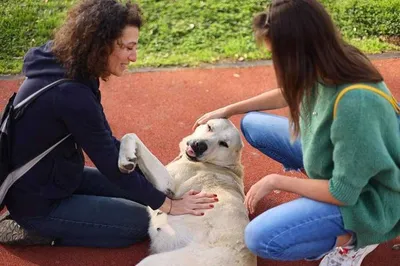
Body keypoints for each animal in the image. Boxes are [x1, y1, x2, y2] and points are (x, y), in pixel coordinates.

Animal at [118, 119, 256, 266]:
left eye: (224, 144)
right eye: (209, 127)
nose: (200, 145)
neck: (221, 165)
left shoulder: (167, 184)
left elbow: (131, 135)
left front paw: (125, 158)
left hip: (154, 261)